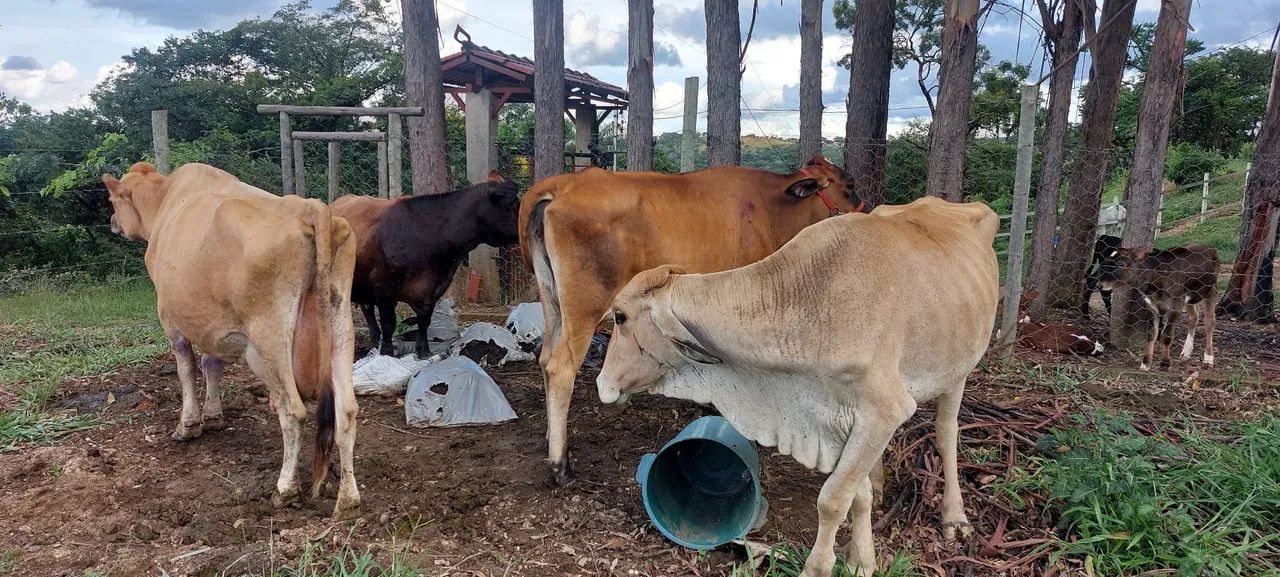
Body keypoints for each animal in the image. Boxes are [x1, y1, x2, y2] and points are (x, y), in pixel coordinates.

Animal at [102, 162, 360, 519]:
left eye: (112, 201)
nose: (112, 222)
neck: (166, 203)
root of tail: (310, 207)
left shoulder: (171, 319)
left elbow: (187, 369)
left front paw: (188, 425)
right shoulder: (216, 325)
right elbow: (211, 362)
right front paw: (213, 416)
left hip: (268, 338)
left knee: (293, 410)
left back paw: (285, 489)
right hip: (341, 324)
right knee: (346, 409)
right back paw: (348, 497)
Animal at [331, 172, 520, 358]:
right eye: (512, 203)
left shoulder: (433, 289)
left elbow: (424, 321)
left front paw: (423, 351)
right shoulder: (384, 287)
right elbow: (389, 323)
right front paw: (386, 352)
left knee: (368, 310)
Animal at [519, 155, 864, 484]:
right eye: (849, 186)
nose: (862, 213)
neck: (771, 206)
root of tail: (563, 184)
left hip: (552, 300)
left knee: (545, 358)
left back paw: (551, 438)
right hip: (585, 305)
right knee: (561, 368)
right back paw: (561, 465)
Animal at [595, 197, 999, 577]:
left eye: (620, 317)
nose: (602, 383)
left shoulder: (884, 409)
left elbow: (833, 498)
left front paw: (818, 567)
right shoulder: (838, 422)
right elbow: (858, 495)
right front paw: (860, 559)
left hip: (959, 370)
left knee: (946, 433)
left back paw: (954, 517)